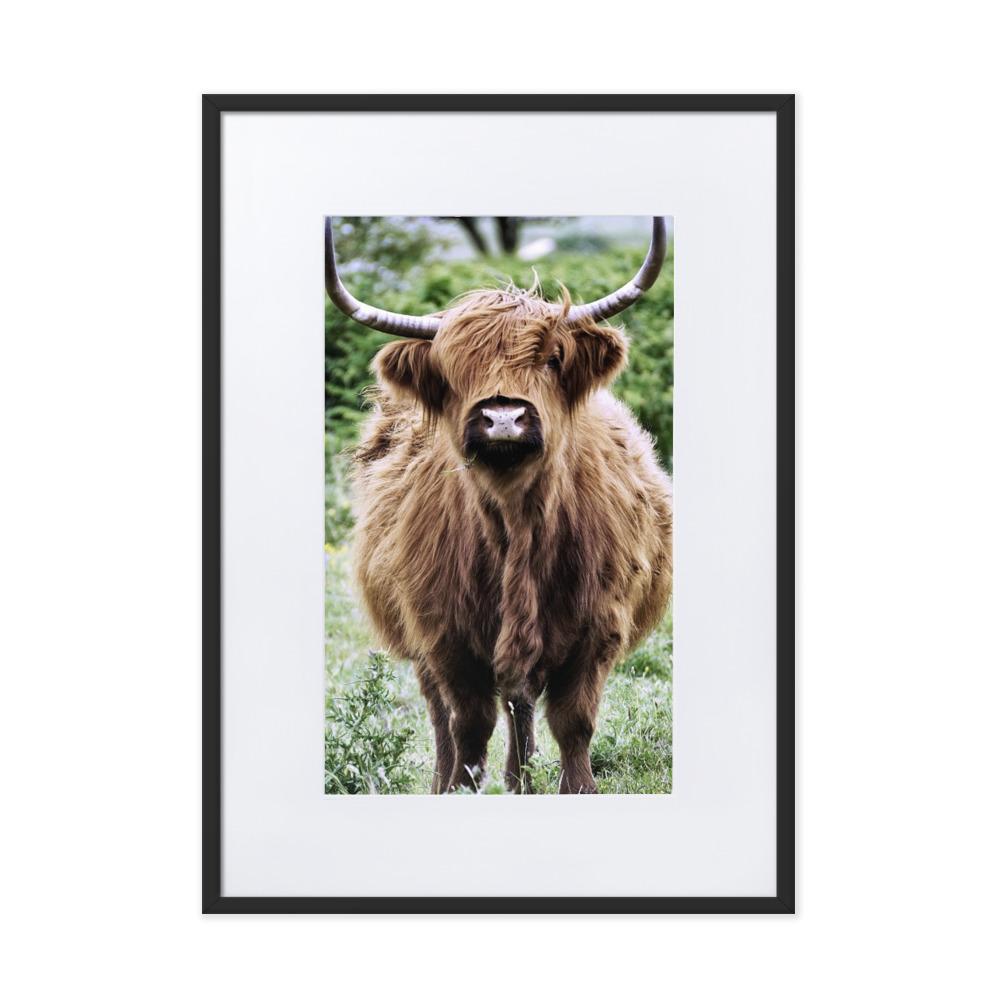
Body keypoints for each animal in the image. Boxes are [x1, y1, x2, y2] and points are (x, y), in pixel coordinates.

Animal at [326, 217, 673, 793]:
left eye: (553, 359)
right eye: (452, 369)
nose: (504, 417)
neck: (517, 524)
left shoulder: (600, 627)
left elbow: (573, 721)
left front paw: (577, 788)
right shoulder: (443, 634)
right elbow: (468, 723)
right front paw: (460, 788)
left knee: (520, 702)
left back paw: (520, 779)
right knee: (447, 713)